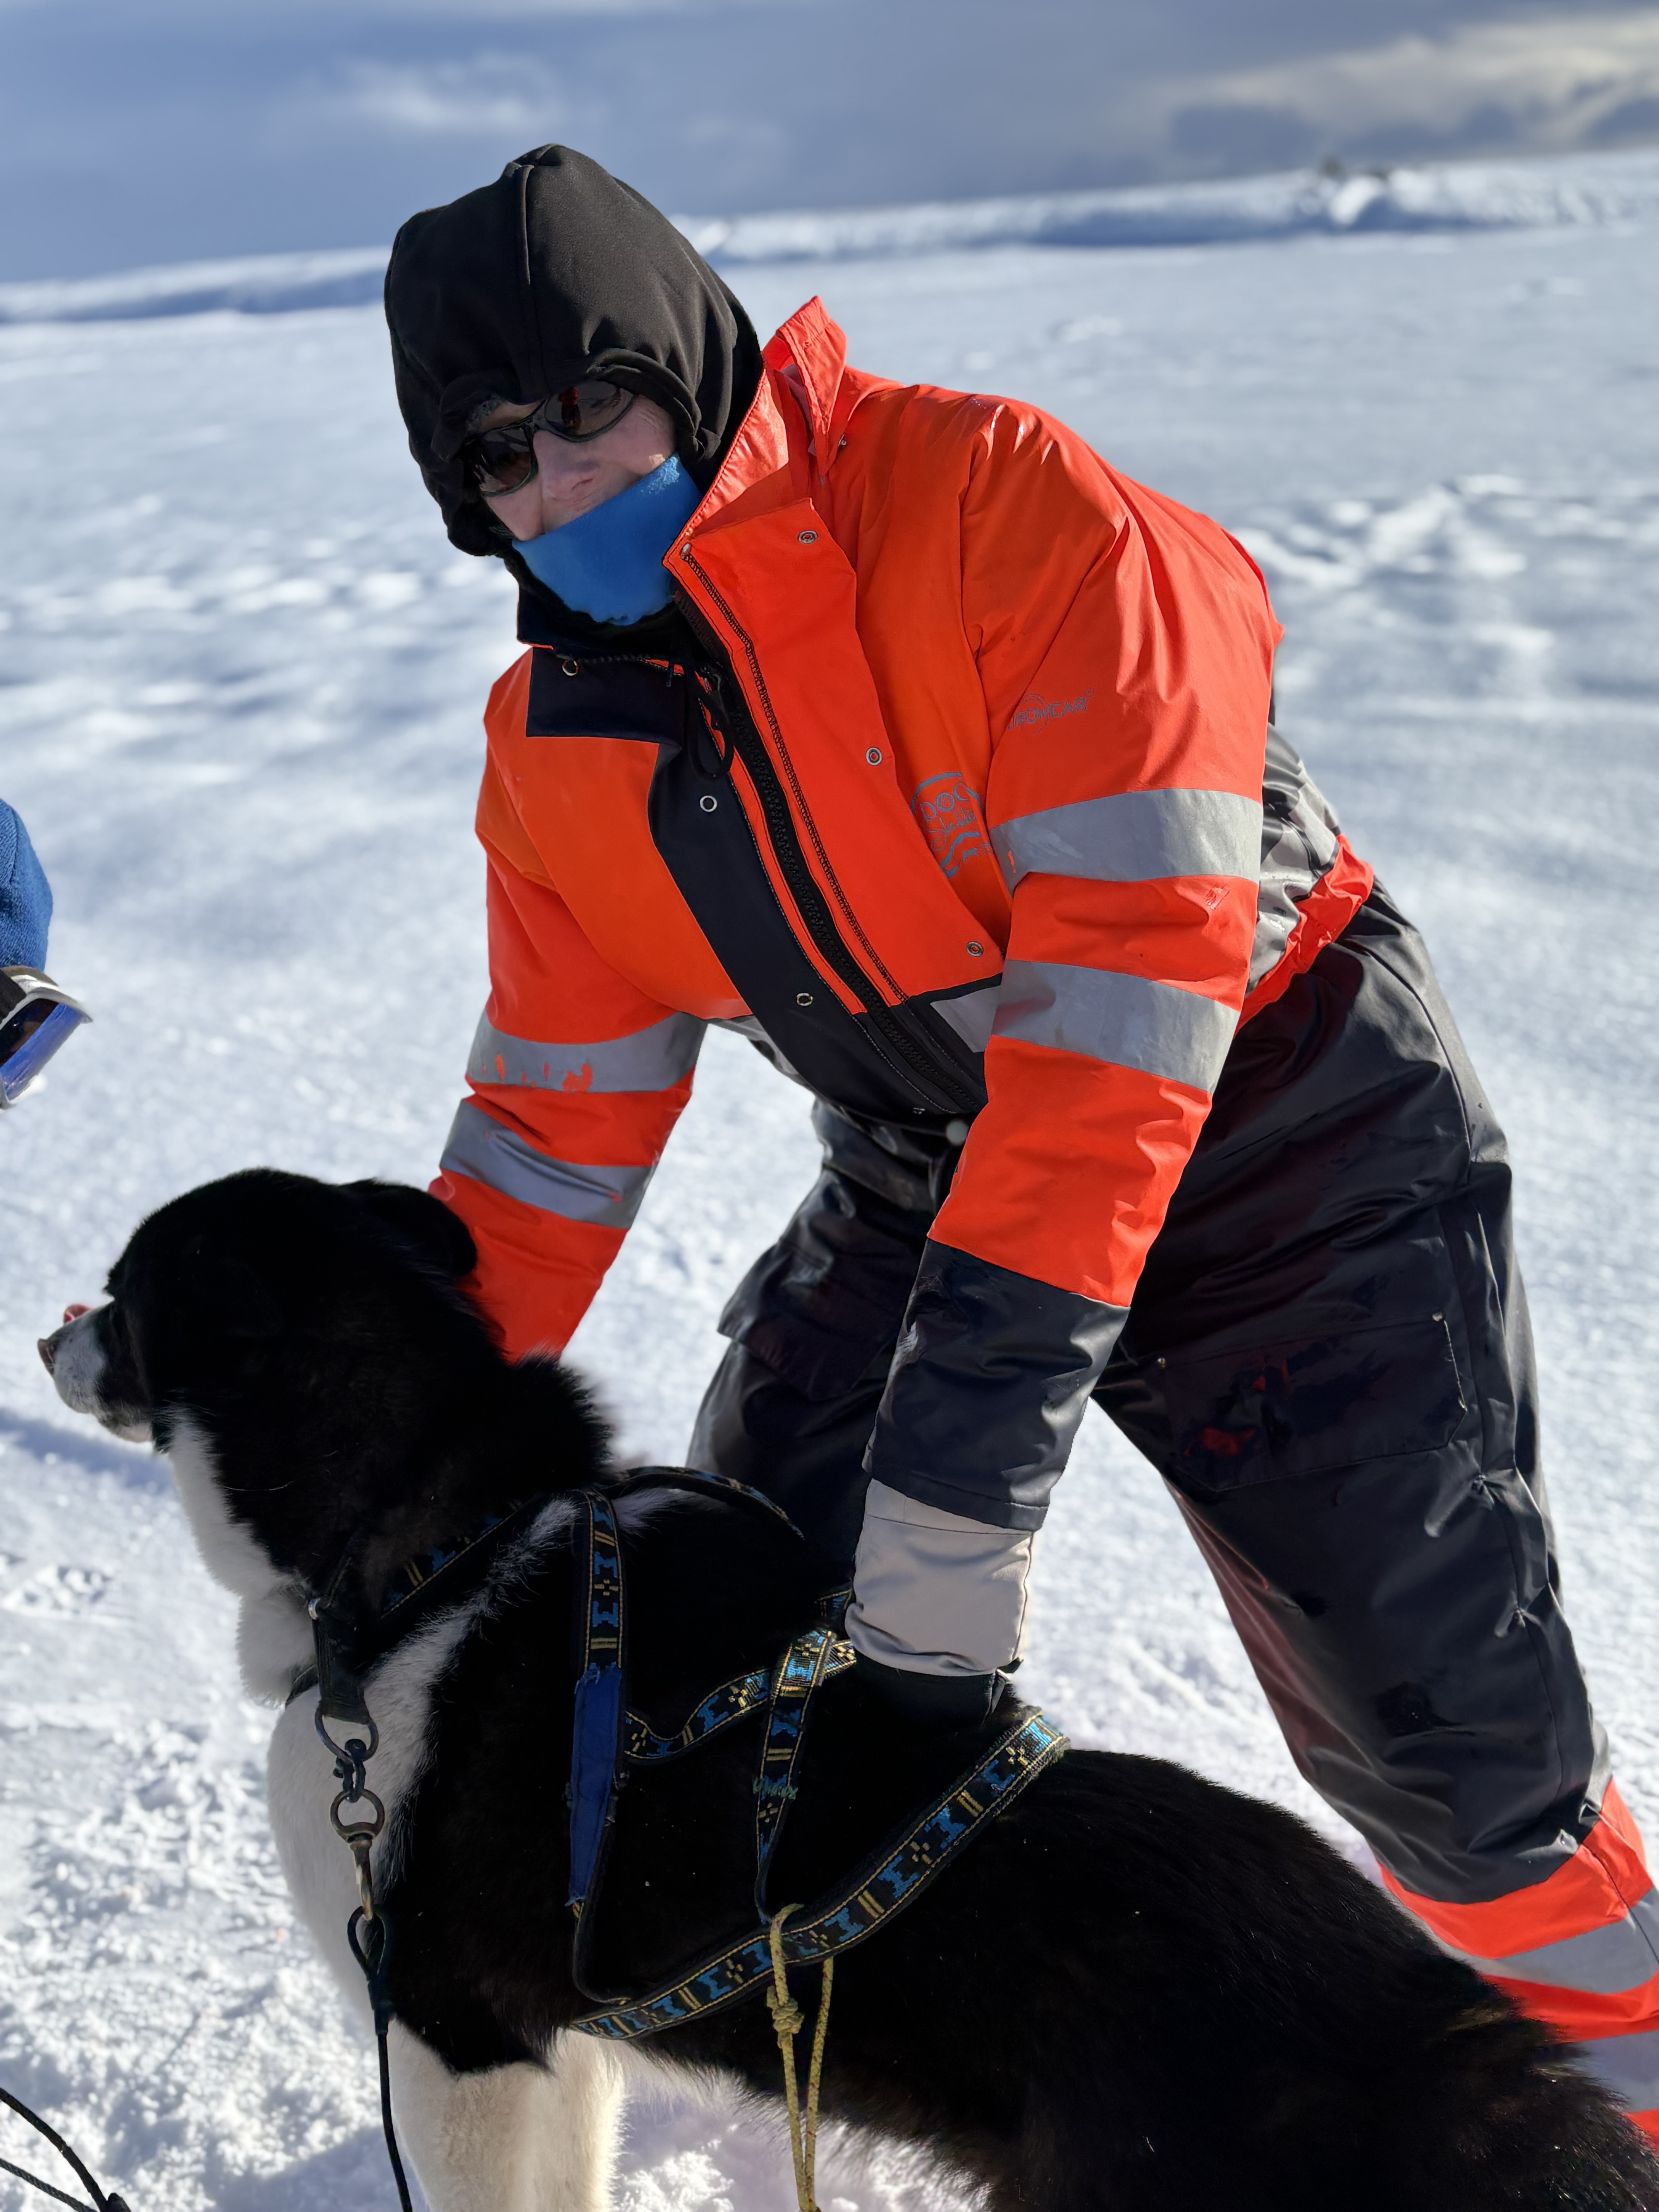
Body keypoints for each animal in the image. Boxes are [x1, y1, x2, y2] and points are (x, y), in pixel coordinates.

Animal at [39, 1167, 1659, 2212]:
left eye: (119, 1294)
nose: (50, 1326)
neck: (445, 1542)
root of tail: (1448, 2039)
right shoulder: (560, 2047)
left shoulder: (451, 2038)